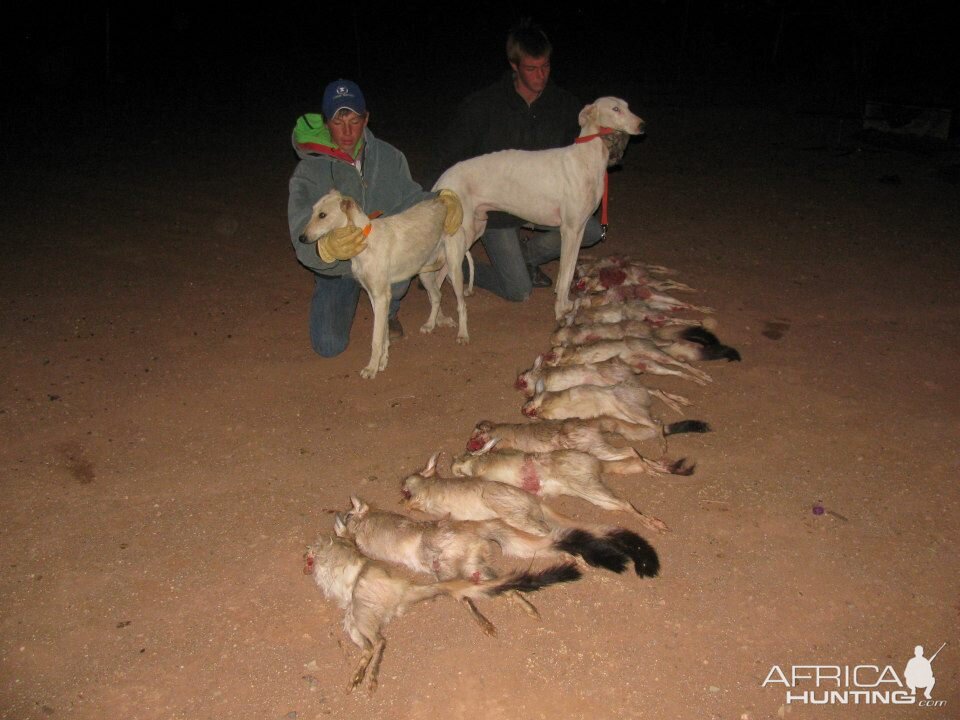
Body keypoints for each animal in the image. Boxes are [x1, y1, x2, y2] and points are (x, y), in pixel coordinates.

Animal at [300, 191, 464, 382]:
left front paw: (371, 368)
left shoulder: (381, 297)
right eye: (313, 211)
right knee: (437, 296)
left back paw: (463, 334)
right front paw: (383, 361)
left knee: (461, 305)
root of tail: (443, 203)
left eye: (322, 215)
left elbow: (377, 339)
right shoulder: (376, 297)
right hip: (425, 273)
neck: (364, 240)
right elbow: (384, 333)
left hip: (454, 269)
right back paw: (430, 324)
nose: (301, 238)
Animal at [436, 95, 644, 326]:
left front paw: (567, 304)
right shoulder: (569, 230)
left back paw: (439, 319)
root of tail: (443, 179)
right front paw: (560, 311)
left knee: (438, 278)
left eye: (627, 107)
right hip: (460, 234)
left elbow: (568, 272)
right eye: (615, 109)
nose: (642, 125)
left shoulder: (579, 230)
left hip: (473, 230)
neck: (586, 158)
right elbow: (565, 276)